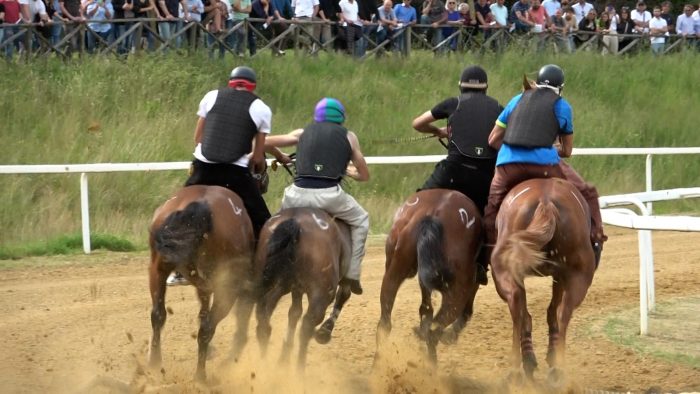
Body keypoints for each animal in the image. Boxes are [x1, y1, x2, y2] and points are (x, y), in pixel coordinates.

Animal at [148, 185, 258, 382]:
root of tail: (200, 206)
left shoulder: (203, 285)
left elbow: (202, 311)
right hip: (228, 288)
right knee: (207, 328)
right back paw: (200, 376)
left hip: (157, 268)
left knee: (158, 315)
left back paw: (154, 364)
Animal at [254, 206, 356, 370]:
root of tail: (294, 221)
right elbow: (344, 294)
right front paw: (324, 332)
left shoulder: (296, 288)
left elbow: (294, 313)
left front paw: (284, 357)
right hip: (320, 294)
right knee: (307, 326)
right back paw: (299, 370)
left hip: (273, 282)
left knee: (264, 317)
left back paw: (264, 364)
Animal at [374, 189, 484, 364]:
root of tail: (433, 214)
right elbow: (466, 311)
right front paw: (450, 336)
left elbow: (425, 311)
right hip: (457, 292)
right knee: (434, 330)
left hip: (394, 271)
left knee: (385, 324)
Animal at [492, 178, 596, 384]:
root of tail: (546, 202)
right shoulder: (560, 275)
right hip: (578, 276)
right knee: (562, 312)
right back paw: (556, 366)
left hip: (506, 270)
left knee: (519, 308)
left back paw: (521, 368)